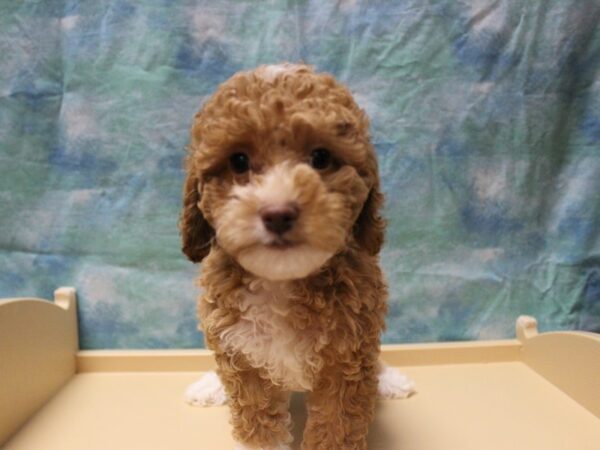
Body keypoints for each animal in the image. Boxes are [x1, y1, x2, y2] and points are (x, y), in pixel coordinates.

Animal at [179, 63, 412, 450]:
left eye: (321, 158)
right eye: (238, 161)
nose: (278, 213)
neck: (281, 280)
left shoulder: (348, 357)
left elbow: (336, 427)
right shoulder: (244, 362)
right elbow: (259, 426)